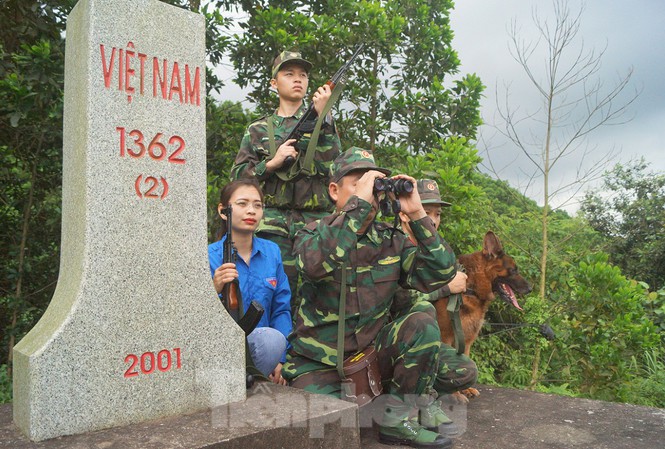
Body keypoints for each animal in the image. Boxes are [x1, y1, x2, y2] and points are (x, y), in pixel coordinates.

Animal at [434, 231, 532, 400]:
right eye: (513, 270)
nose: (530, 288)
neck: (471, 287)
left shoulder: (466, 339)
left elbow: (465, 360)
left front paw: (466, 389)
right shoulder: (446, 337)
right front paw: (454, 393)